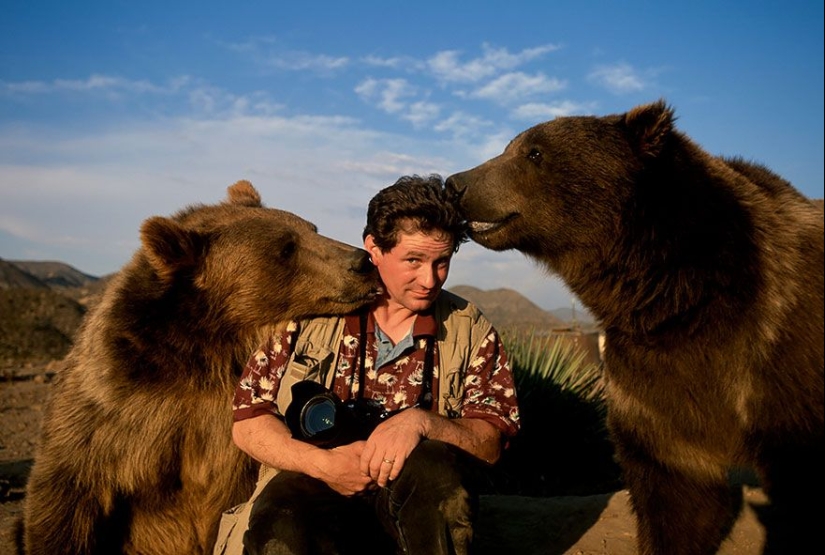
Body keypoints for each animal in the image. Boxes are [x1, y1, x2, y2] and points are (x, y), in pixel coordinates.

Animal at [18, 181, 380, 555]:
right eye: (285, 248)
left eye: (311, 228)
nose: (362, 261)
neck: (208, 353)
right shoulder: (112, 414)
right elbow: (67, 499)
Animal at [448, 101, 820, 555]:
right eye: (510, 147)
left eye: (533, 152)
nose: (456, 183)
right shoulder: (652, 382)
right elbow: (677, 494)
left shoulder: (777, 350)